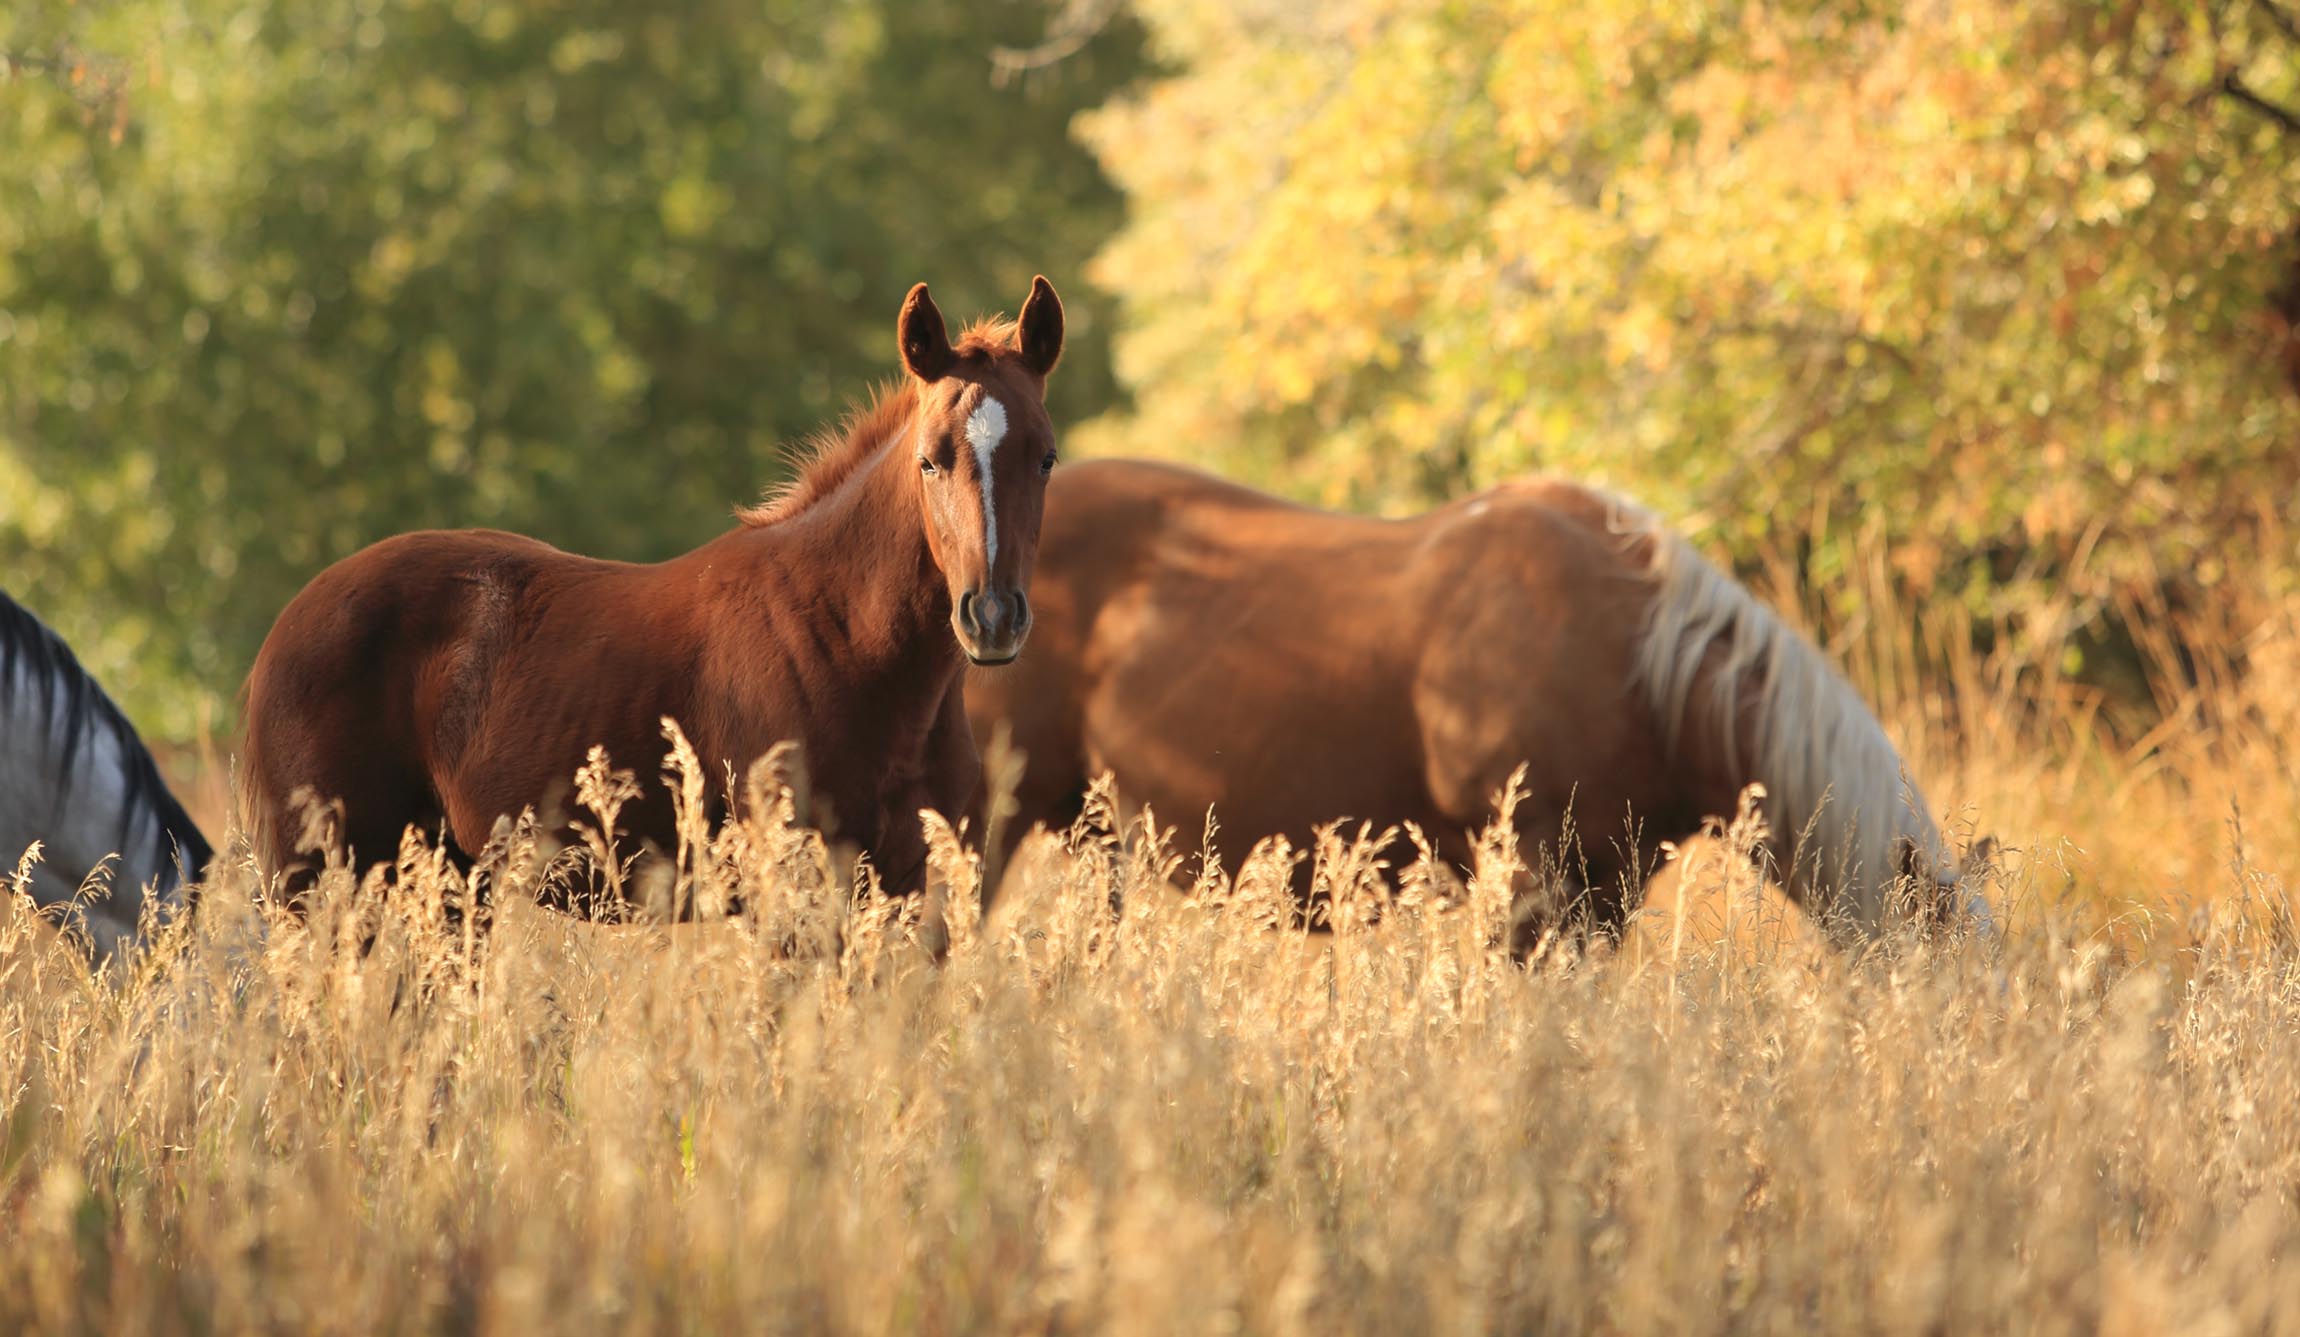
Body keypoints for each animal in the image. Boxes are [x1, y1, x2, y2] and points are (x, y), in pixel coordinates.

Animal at [242, 277, 1067, 911]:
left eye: (1046, 456)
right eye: (930, 459)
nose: (992, 617)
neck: (848, 642)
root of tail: (287, 625)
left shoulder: (906, 886)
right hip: (324, 881)